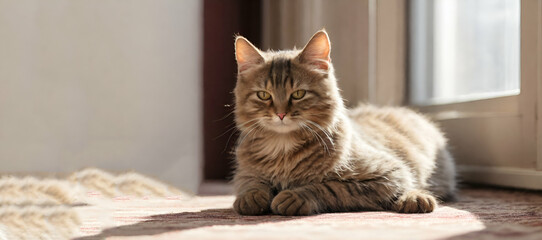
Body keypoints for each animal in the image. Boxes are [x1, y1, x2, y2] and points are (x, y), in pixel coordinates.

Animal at [232, 29, 456, 216]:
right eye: (263, 95)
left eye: (298, 94)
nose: (280, 114)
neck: (282, 147)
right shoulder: (245, 173)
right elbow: (251, 183)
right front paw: (251, 197)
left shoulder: (388, 174)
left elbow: (332, 187)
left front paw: (295, 196)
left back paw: (415, 199)